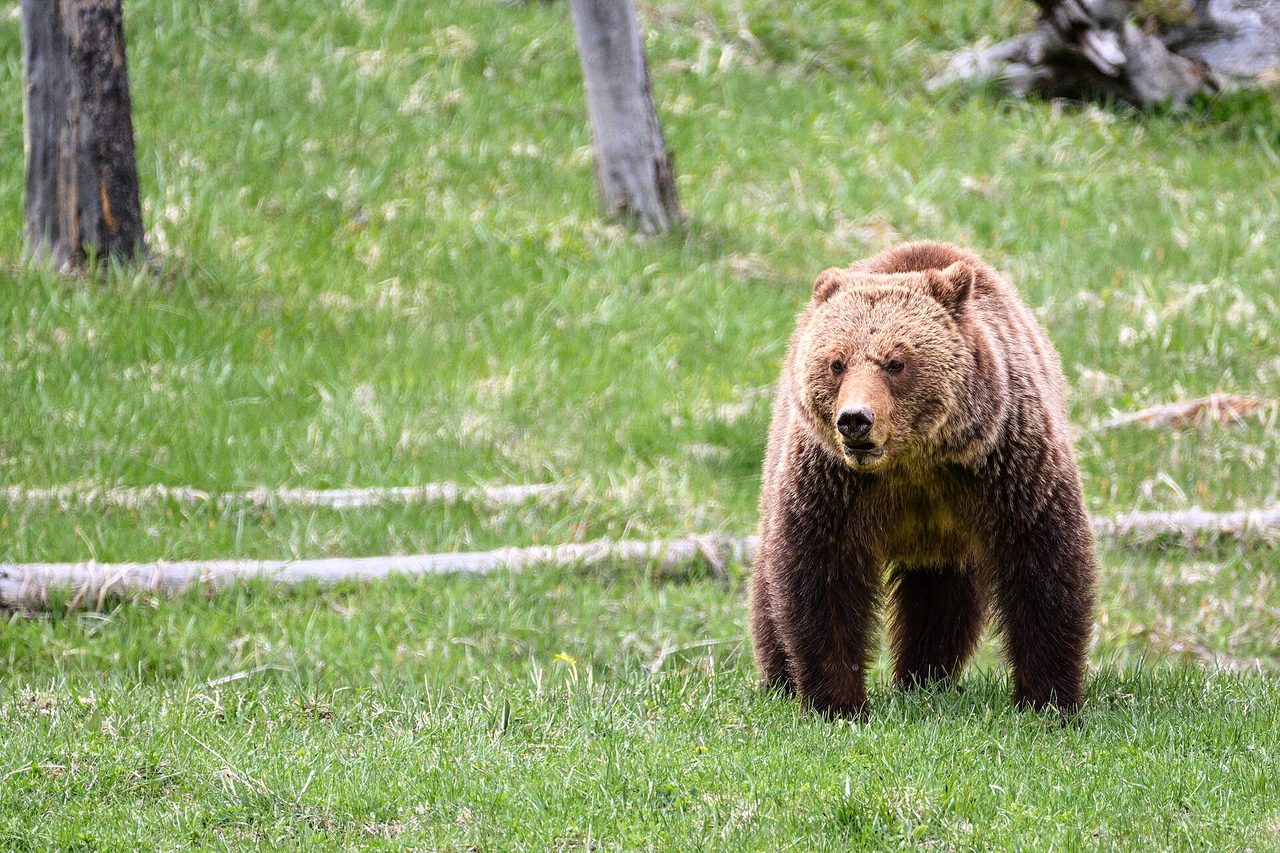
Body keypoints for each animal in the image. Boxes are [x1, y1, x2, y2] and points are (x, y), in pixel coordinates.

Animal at [750, 241, 1097, 716]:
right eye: (837, 362)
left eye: (895, 362)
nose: (855, 420)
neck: (913, 459)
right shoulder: (831, 484)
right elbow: (820, 578)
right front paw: (837, 702)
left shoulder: (1005, 466)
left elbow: (1044, 564)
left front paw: (1048, 699)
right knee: (769, 586)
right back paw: (780, 678)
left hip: (949, 542)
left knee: (943, 602)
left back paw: (925, 677)